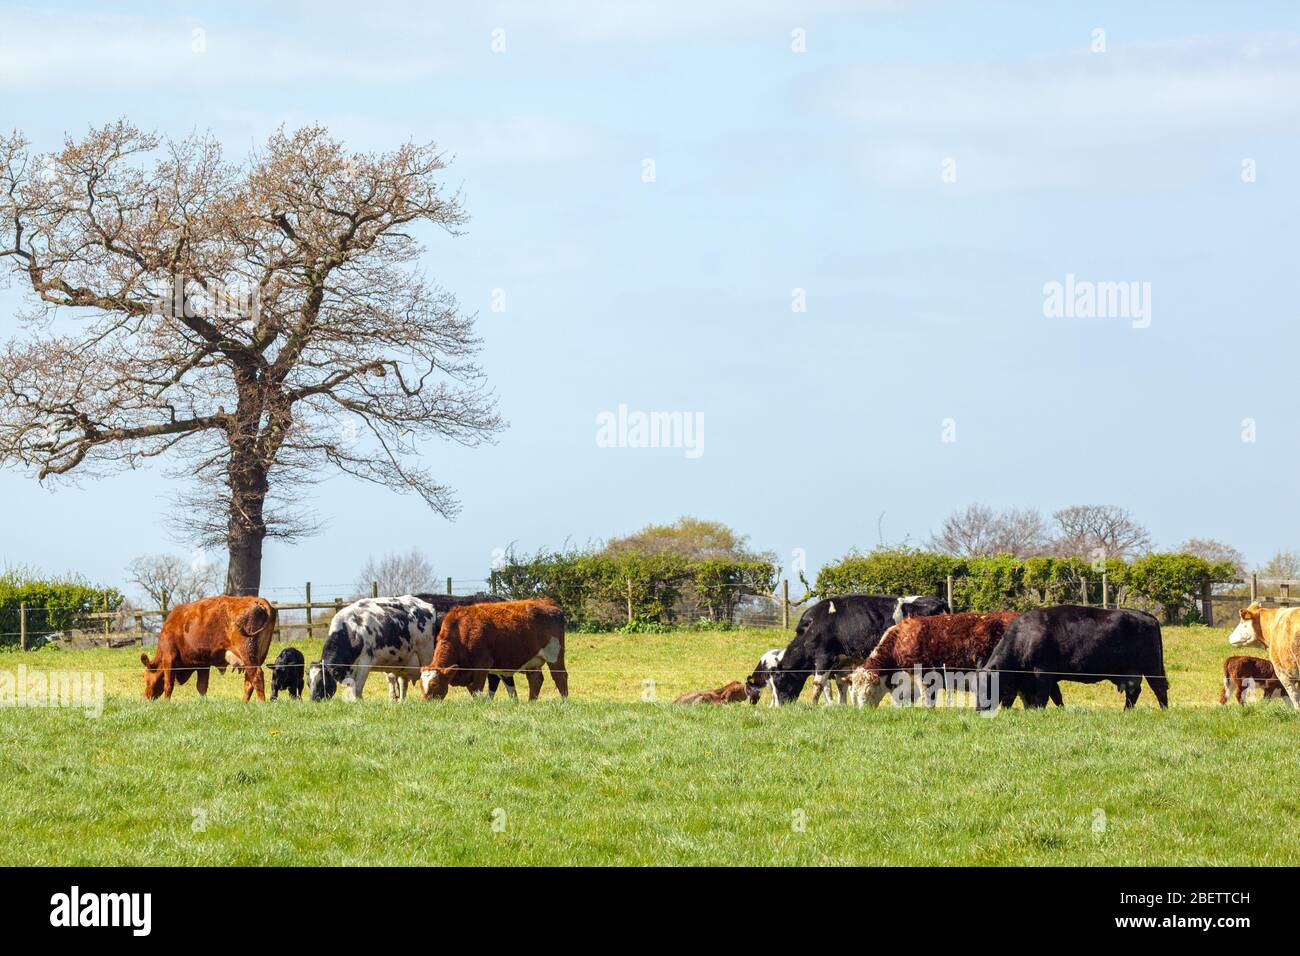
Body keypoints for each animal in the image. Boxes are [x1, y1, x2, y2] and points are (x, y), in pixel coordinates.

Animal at [140, 595, 277, 701]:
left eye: (145, 677)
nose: (145, 697)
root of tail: (257, 600)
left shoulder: (169, 658)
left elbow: (168, 685)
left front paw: (166, 703)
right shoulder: (202, 663)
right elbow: (202, 686)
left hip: (247, 654)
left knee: (256, 676)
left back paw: (261, 703)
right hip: (256, 656)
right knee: (249, 682)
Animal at [311, 595, 439, 702]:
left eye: (322, 682)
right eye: (309, 683)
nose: (313, 700)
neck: (352, 630)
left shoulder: (365, 663)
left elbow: (358, 687)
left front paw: (357, 702)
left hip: (426, 654)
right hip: (404, 661)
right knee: (403, 683)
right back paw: (401, 701)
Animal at [421, 598, 567, 701]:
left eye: (434, 684)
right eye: (421, 685)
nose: (426, 703)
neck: (461, 631)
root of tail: (547, 602)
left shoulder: (482, 665)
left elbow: (478, 688)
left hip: (555, 655)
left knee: (560, 677)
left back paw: (564, 701)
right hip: (532, 661)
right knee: (535, 680)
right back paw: (531, 702)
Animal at [768, 594, 948, 705]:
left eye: (779, 681)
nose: (780, 706)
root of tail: (939, 602)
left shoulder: (824, 658)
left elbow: (818, 684)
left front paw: (813, 705)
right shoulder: (843, 661)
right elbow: (841, 685)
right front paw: (842, 705)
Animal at [978, 605, 1168, 710]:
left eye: (987, 686)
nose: (979, 709)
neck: (1024, 637)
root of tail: (1147, 616)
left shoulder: (1043, 673)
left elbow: (1043, 696)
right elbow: (1056, 697)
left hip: (1152, 668)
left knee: (1159, 688)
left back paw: (1163, 710)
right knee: (1134, 692)